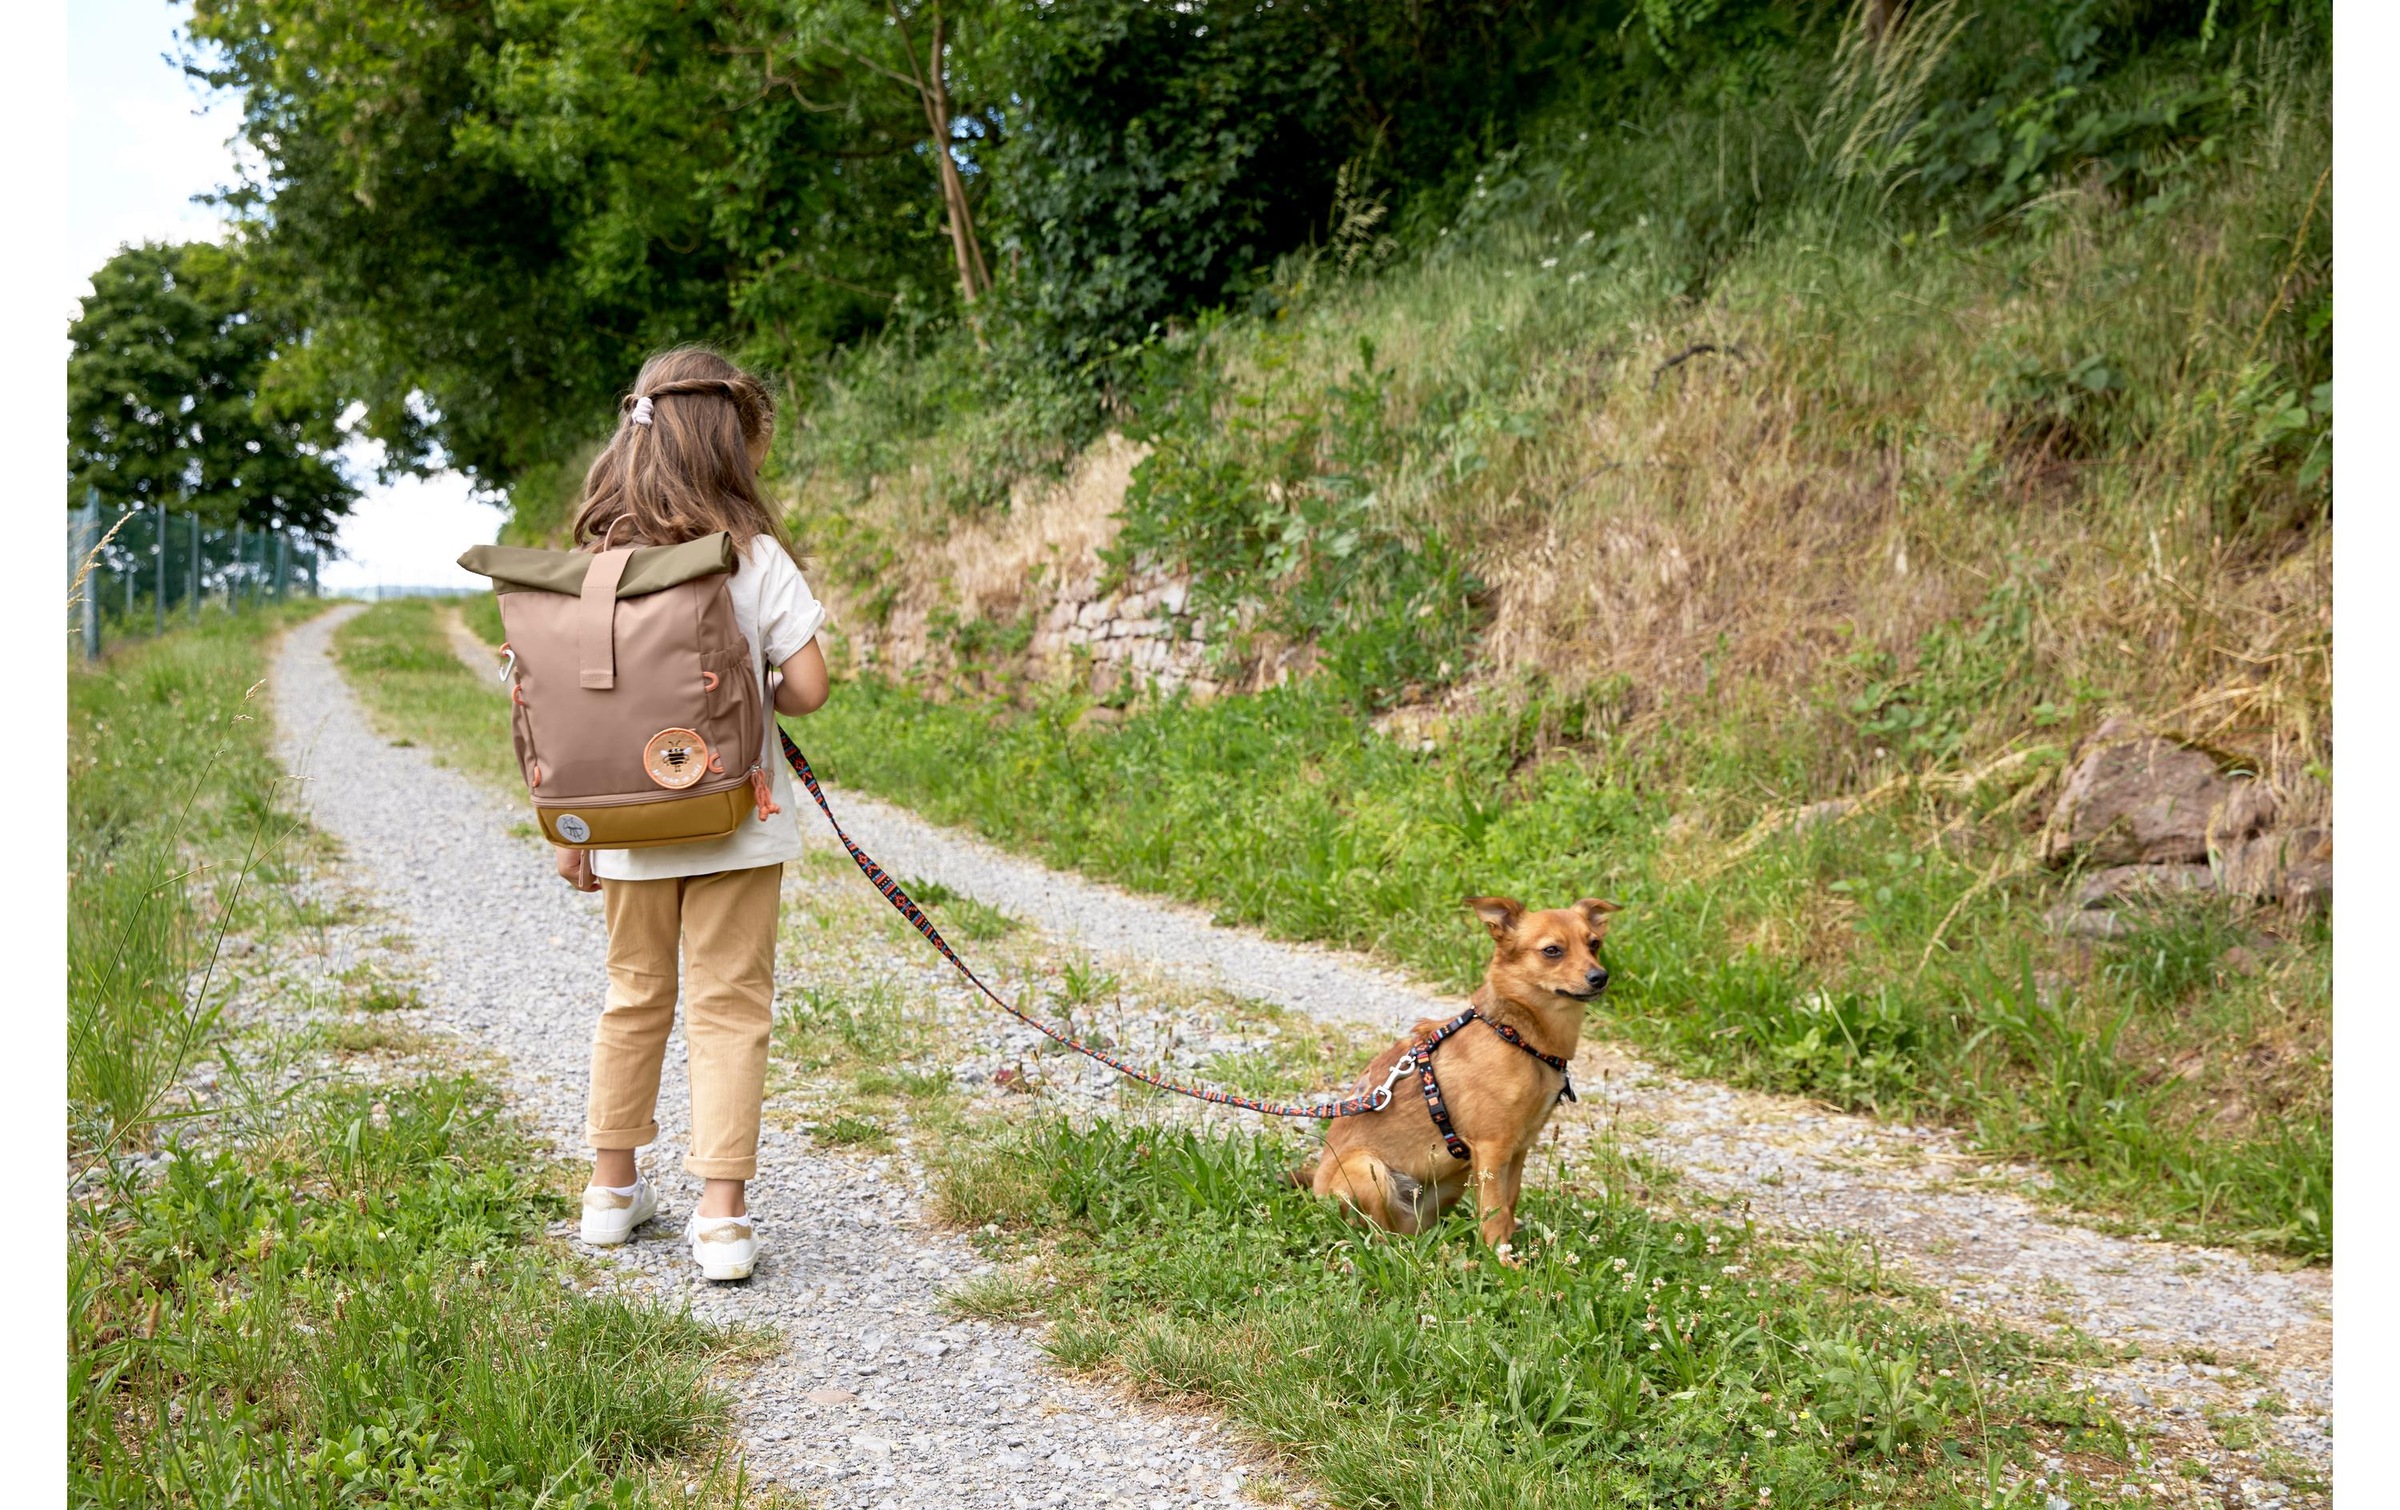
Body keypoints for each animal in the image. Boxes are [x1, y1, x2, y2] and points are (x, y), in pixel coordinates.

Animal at [1305, 893, 1622, 1257]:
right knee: (1380, 1233)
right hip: (1369, 1169)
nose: (1600, 976)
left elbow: (1507, 1205)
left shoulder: (1518, 1149)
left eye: (1594, 944)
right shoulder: (1491, 1149)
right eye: (1552, 950)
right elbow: (1494, 1214)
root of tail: (1316, 1190)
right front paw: (1501, 1259)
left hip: (1454, 1180)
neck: (1517, 1034)